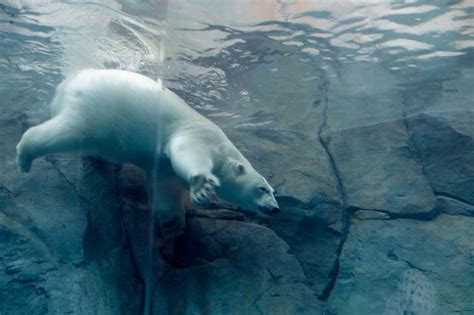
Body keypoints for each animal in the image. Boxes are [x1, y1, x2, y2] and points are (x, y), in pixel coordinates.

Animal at [16, 68, 280, 238]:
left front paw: (173, 225)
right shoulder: (197, 135)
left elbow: (164, 189)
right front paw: (203, 188)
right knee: (68, 131)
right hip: (96, 109)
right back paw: (24, 154)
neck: (223, 149)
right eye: (262, 189)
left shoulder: (165, 169)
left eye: (272, 190)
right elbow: (186, 153)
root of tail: (67, 84)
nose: (276, 208)